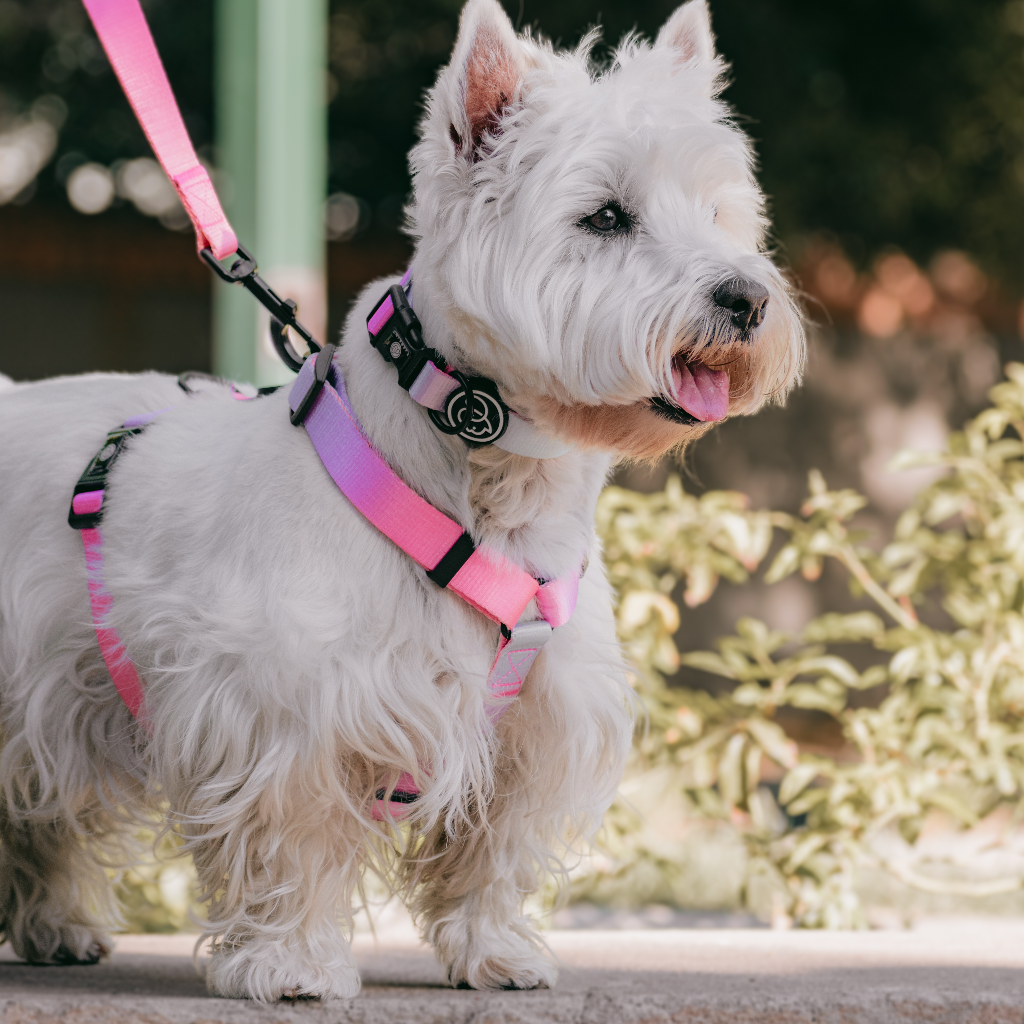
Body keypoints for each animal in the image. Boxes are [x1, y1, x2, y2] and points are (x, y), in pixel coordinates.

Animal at [0, 0, 802, 1003]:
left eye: (720, 211)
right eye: (606, 216)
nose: (746, 298)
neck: (496, 490)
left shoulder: (538, 720)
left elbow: (493, 845)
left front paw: (496, 953)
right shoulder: (283, 704)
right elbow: (293, 835)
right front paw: (294, 965)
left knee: (42, 809)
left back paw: (57, 926)